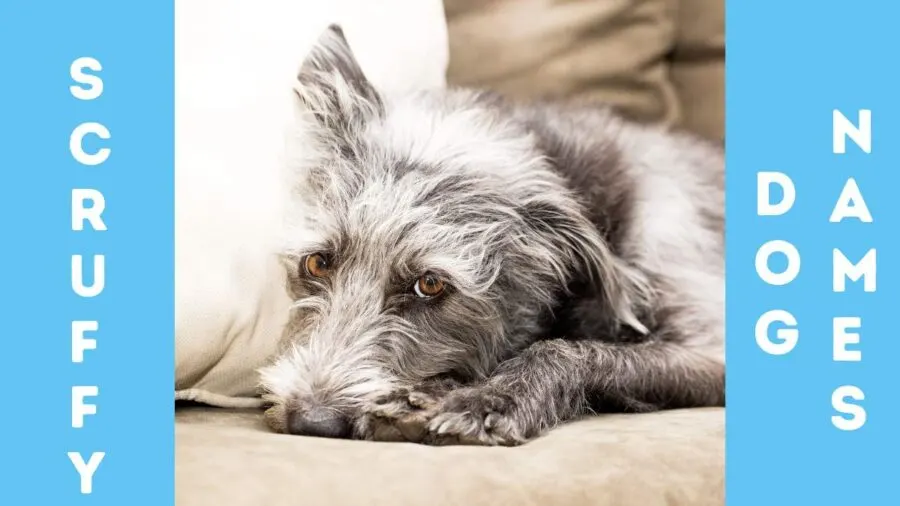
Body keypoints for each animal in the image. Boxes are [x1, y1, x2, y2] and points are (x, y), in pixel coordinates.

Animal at [258, 24, 724, 446]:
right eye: (317, 262)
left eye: (430, 284)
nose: (313, 422)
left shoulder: (712, 346)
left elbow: (563, 347)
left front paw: (485, 399)